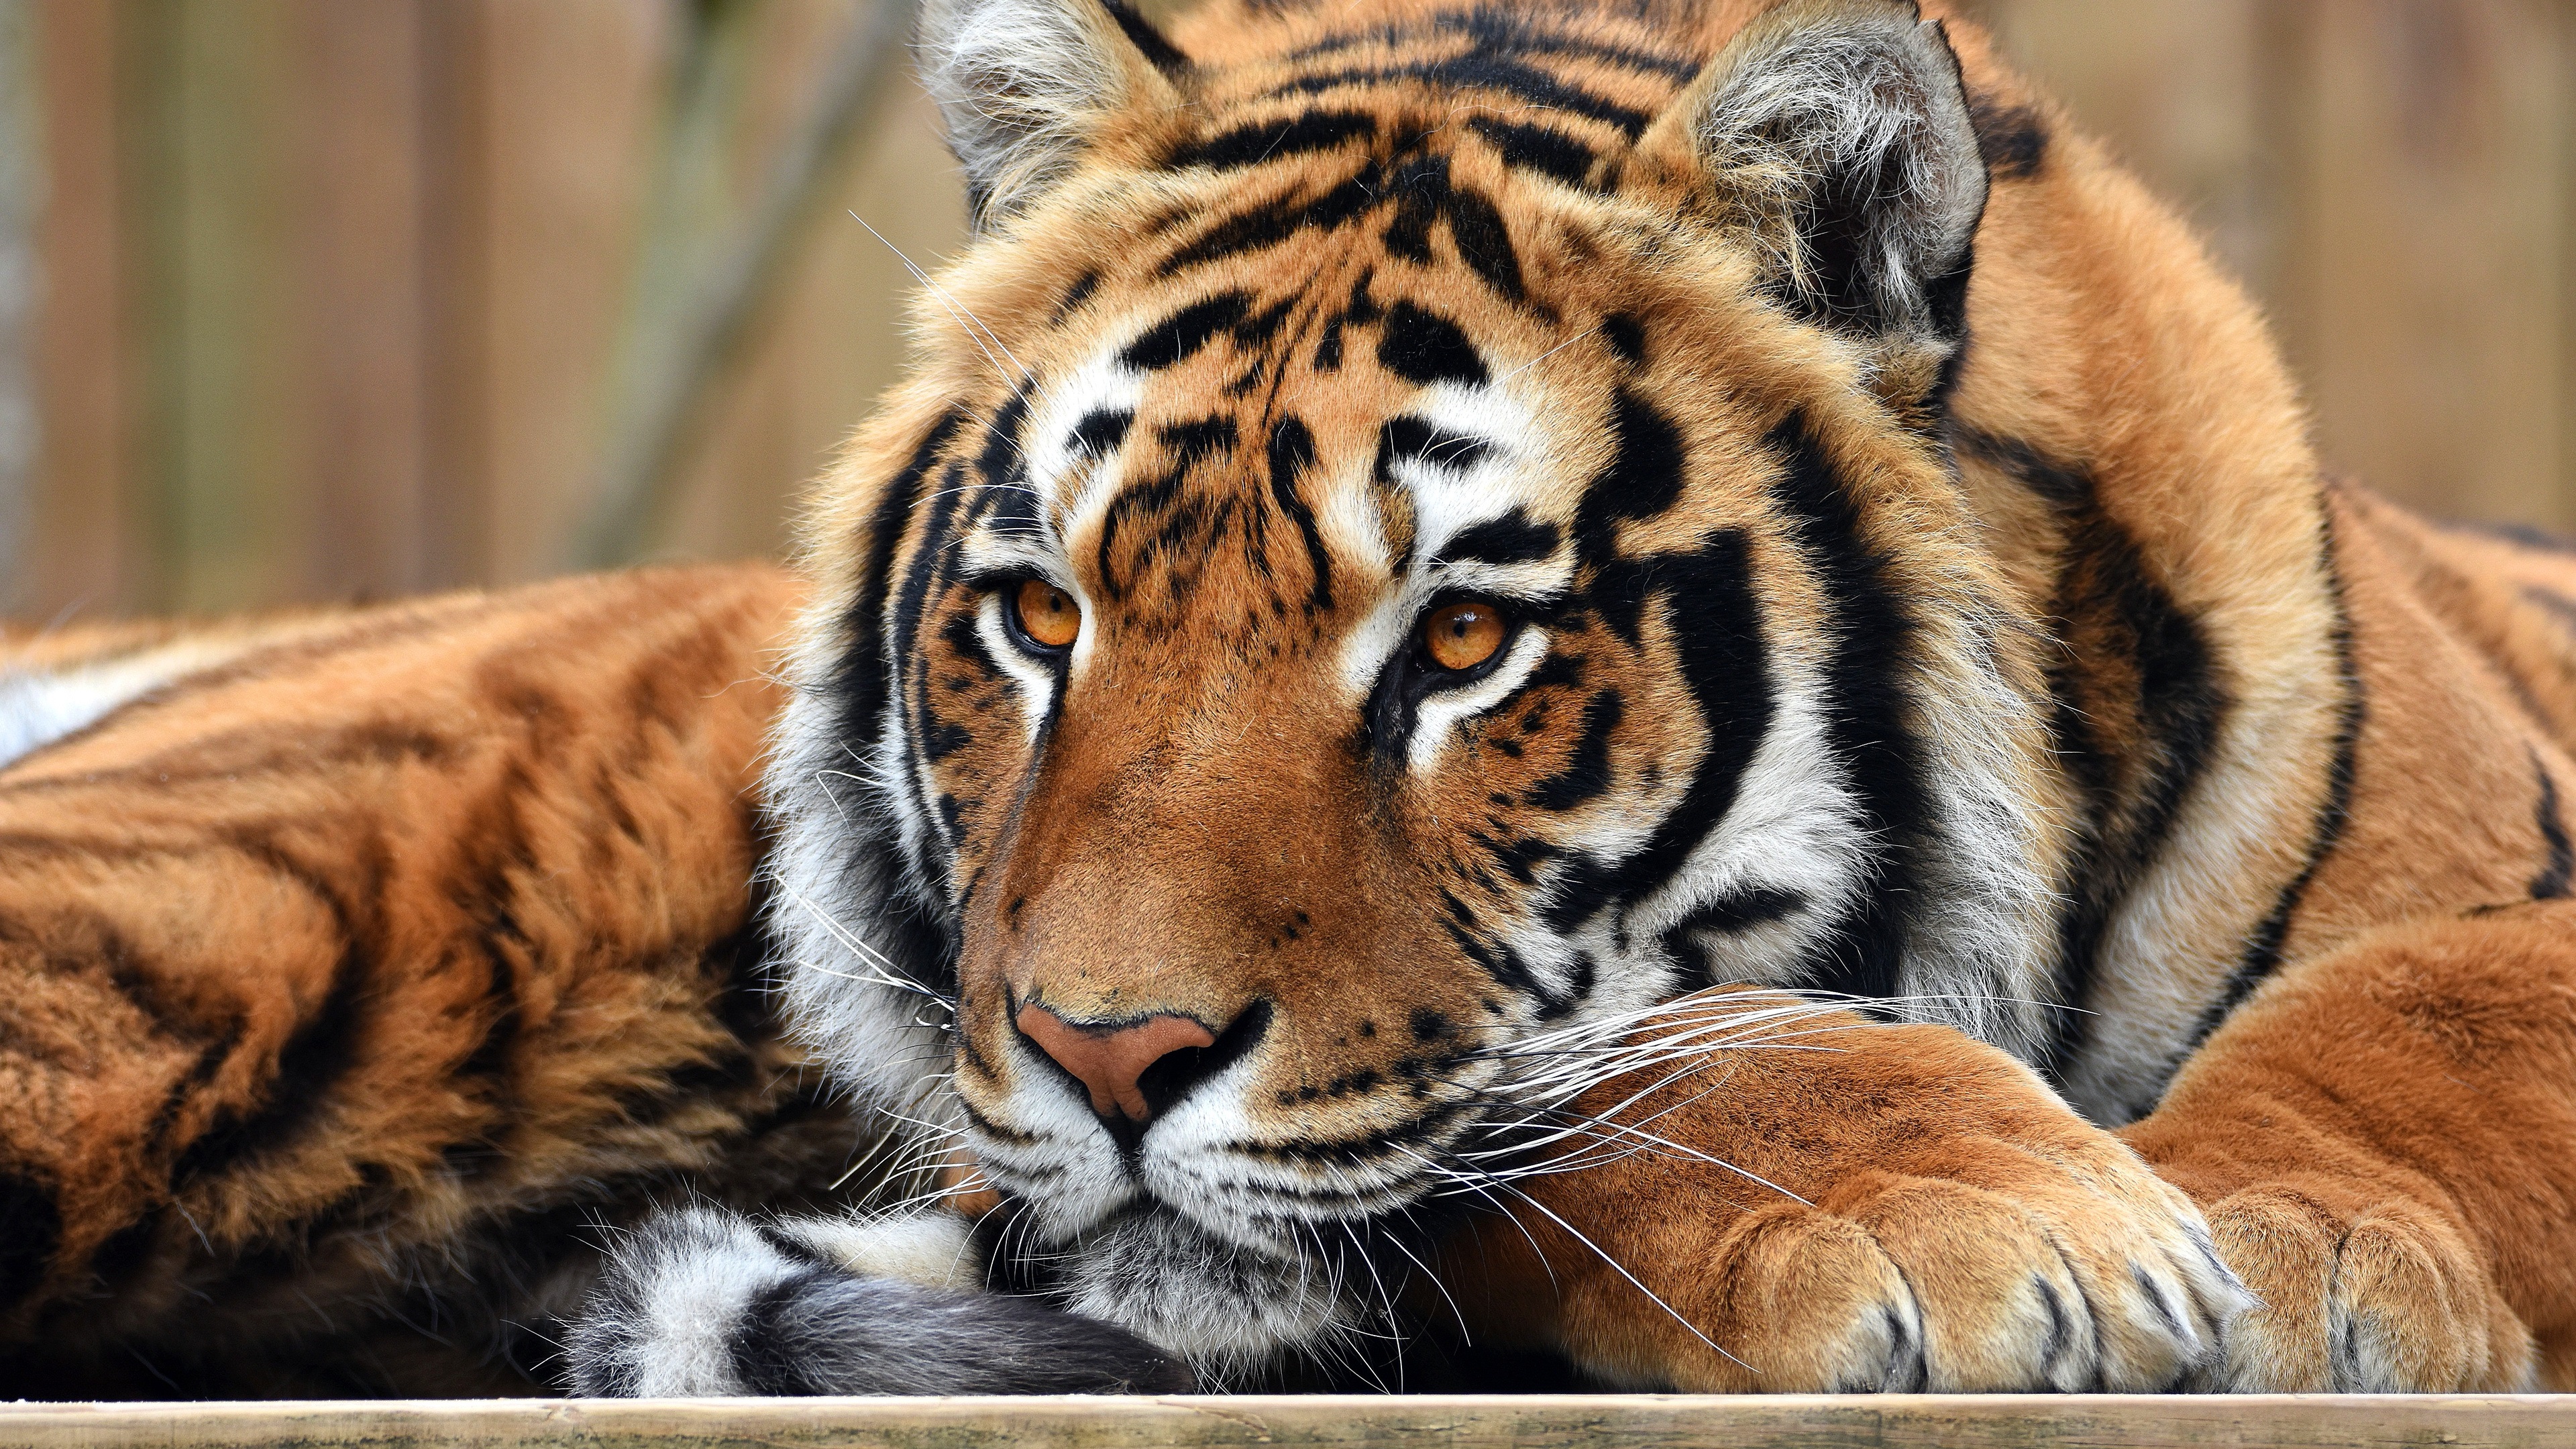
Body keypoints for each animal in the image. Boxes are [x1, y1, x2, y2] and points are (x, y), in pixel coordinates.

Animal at [8, 0, 2576, 1401]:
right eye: (1044, 620)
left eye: (1458, 640)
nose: (1105, 1059)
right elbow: (1669, 1066)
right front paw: (2002, 1227)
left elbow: (2457, 996)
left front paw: (2300, 1247)